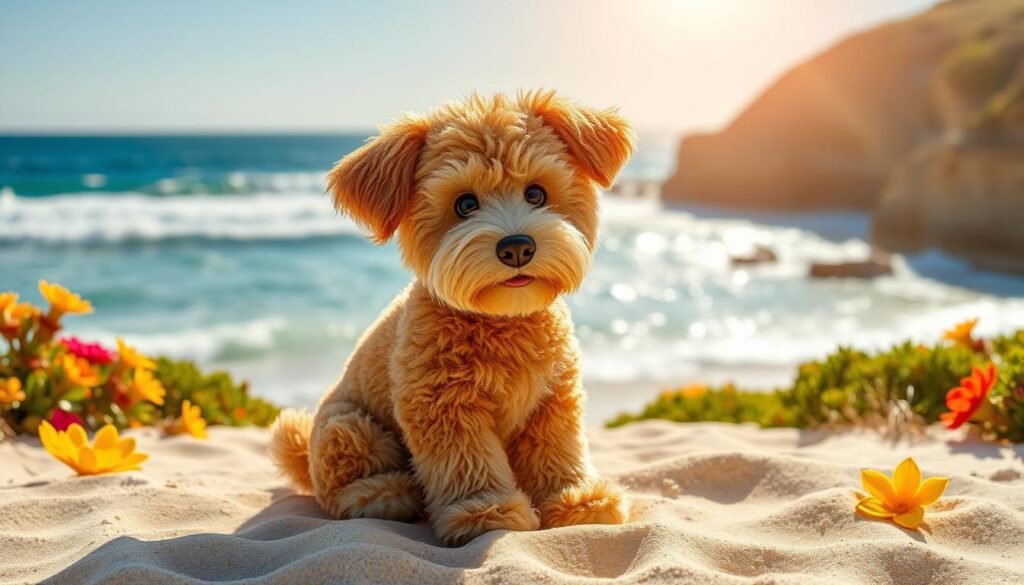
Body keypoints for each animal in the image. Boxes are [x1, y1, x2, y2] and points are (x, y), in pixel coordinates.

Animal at [270, 89, 638, 549]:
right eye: (465, 204)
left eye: (536, 194)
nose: (517, 247)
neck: (503, 318)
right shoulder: (442, 404)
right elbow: (467, 458)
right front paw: (485, 510)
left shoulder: (553, 400)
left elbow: (557, 449)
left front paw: (577, 500)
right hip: (348, 425)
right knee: (341, 479)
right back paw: (380, 493)